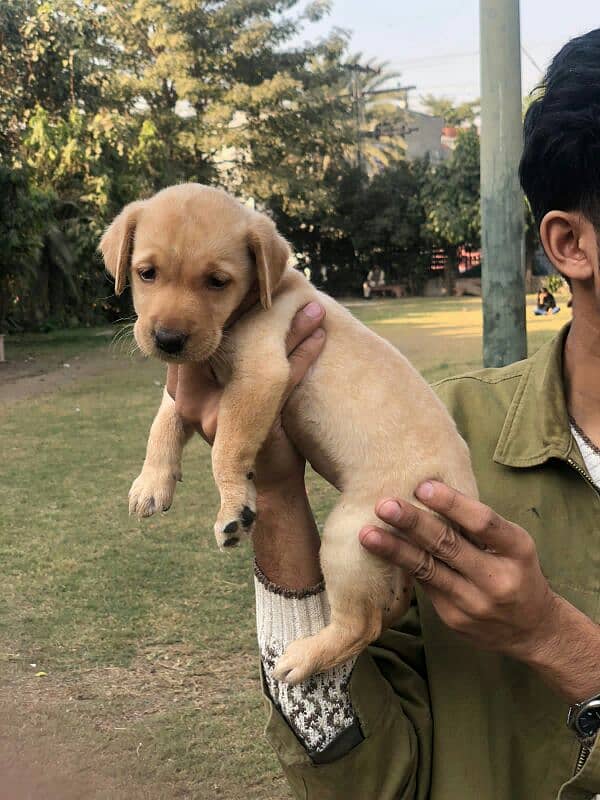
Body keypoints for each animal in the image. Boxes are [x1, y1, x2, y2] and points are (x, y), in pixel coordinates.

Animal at [99, 184, 478, 684]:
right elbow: (163, 421)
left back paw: (304, 657)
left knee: (360, 624)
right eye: (147, 273)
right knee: (385, 611)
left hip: (350, 536)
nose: (168, 340)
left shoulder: (260, 375)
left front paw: (234, 506)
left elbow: (226, 448)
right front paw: (152, 481)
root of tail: (465, 490)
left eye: (217, 282)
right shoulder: (189, 377)